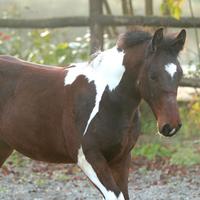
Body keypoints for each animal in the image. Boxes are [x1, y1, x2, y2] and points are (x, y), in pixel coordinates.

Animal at [0, 28, 186, 200]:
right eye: (153, 76)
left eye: (180, 74)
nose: (171, 126)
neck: (108, 98)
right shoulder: (88, 158)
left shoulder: (121, 158)